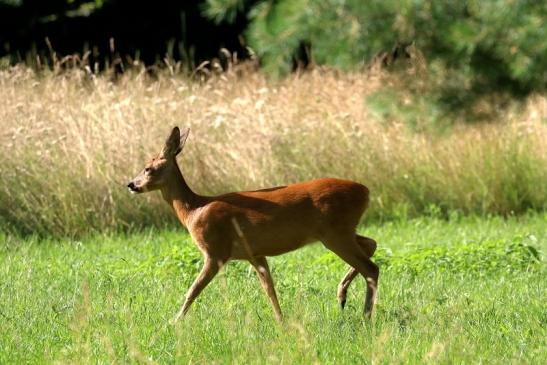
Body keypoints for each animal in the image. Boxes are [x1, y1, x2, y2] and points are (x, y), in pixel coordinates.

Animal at [127, 126, 382, 322]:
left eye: (148, 168)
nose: (131, 184)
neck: (193, 210)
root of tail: (366, 192)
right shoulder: (255, 253)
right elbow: (269, 289)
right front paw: (281, 321)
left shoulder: (215, 250)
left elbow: (192, 290)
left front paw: (174, 322)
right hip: (340, 230)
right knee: (371, 244)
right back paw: (342, 296)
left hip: (335, 232)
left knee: (371, 267)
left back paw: (366, 316)